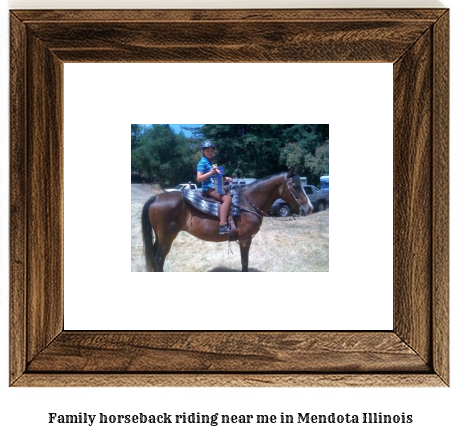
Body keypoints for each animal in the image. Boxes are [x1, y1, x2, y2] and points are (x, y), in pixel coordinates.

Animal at [140, 169, 312, 270]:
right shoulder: (245, 239)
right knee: (159, 259)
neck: (246, 202)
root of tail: (157, 197)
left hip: (160, 237)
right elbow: (244, 262)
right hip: (167, 237)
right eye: (295, 186)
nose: (309, 208)